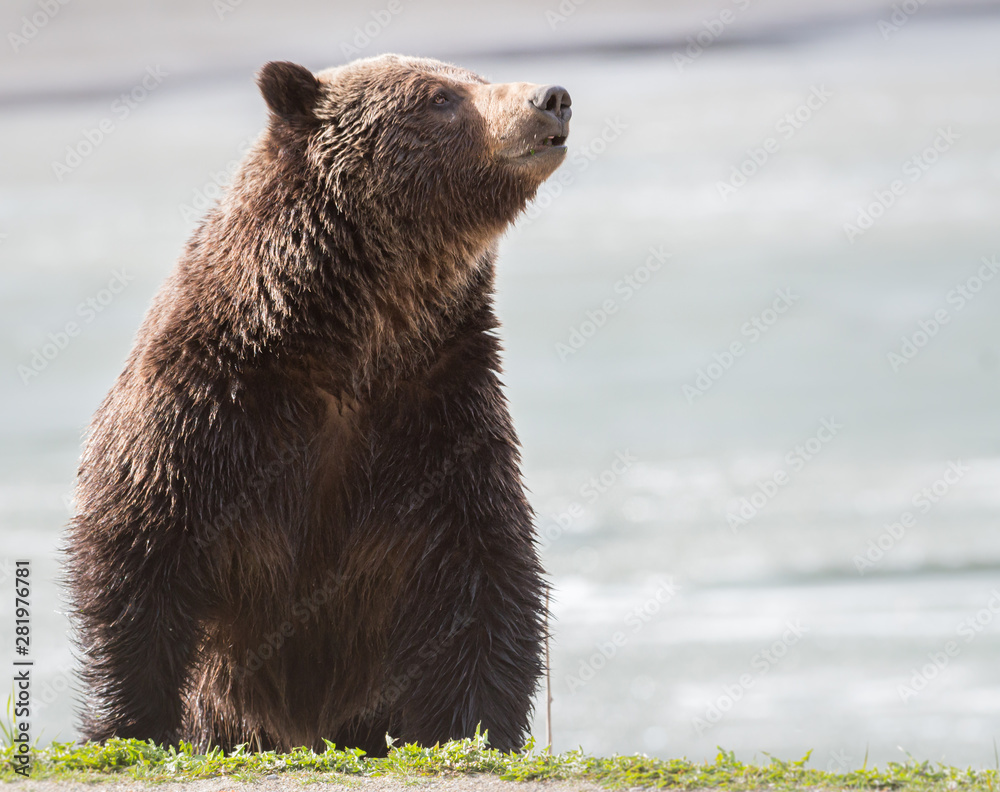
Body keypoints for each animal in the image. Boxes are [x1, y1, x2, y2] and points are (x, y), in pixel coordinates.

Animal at [65, 54, 572, 757]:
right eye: (440, 96)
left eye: (472, 76)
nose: (552, 97)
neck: (350, 342)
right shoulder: (208, 406)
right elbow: (137, 545)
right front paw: (132, 724)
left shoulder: (437, 412)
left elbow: (485, 571)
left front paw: (473, 728)